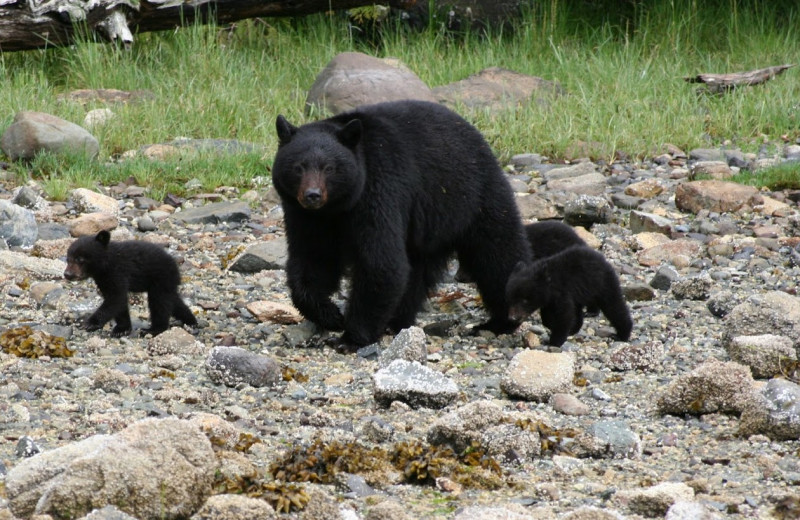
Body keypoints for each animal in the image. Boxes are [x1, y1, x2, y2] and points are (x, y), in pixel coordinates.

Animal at [64, 230, 197, 336]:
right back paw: (191, 321)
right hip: (166, 283)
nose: (67, 274)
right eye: (68, 259)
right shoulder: (103, 279)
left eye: (80, 259)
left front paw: (90, 323)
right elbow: (119, 302)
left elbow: (116, 298)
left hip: (161, 279)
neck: (105, 264)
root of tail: (175, 266)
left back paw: (153, 329)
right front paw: (122, 329)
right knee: (173, 301)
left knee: (159, 303)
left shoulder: (117, 272)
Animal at [270, 100, 532, 350]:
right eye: (298, 167)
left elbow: (381, 262)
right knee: (416, 271)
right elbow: (312, 259)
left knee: (498, 256)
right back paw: (398, 320)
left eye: (329, 168)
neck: (336, 209)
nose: (312, 195)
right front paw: (330, 315)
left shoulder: (380, 189)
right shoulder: (304, 215)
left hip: (474, 197)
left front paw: (350, 338)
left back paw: (500, 321)